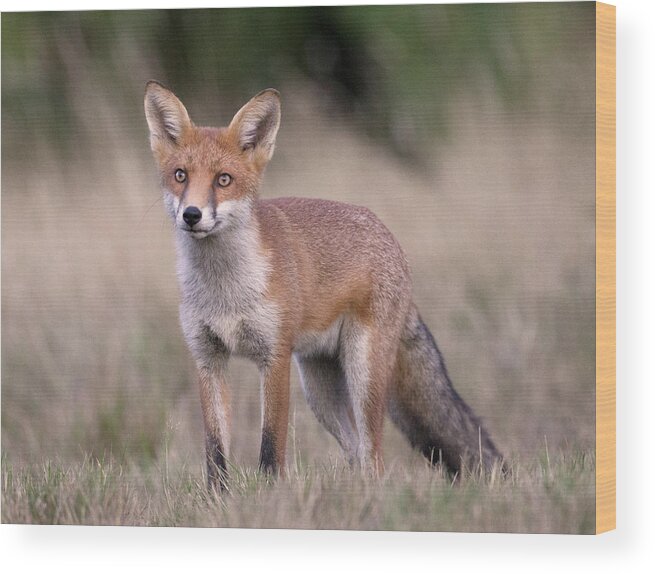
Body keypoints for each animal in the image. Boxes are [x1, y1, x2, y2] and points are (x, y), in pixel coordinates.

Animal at [144, 81, 502, 490]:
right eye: (181, 175)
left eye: (223, 180)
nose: (192, 215)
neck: (226, 293)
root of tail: (390, 237)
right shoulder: (208, 358)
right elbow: (215, 453)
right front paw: (218, 499)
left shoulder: (275, 357)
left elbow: (271, 447)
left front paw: (272, 495)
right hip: (320, 390)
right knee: (356, 451)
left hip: (363, 374)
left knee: (373, 455)